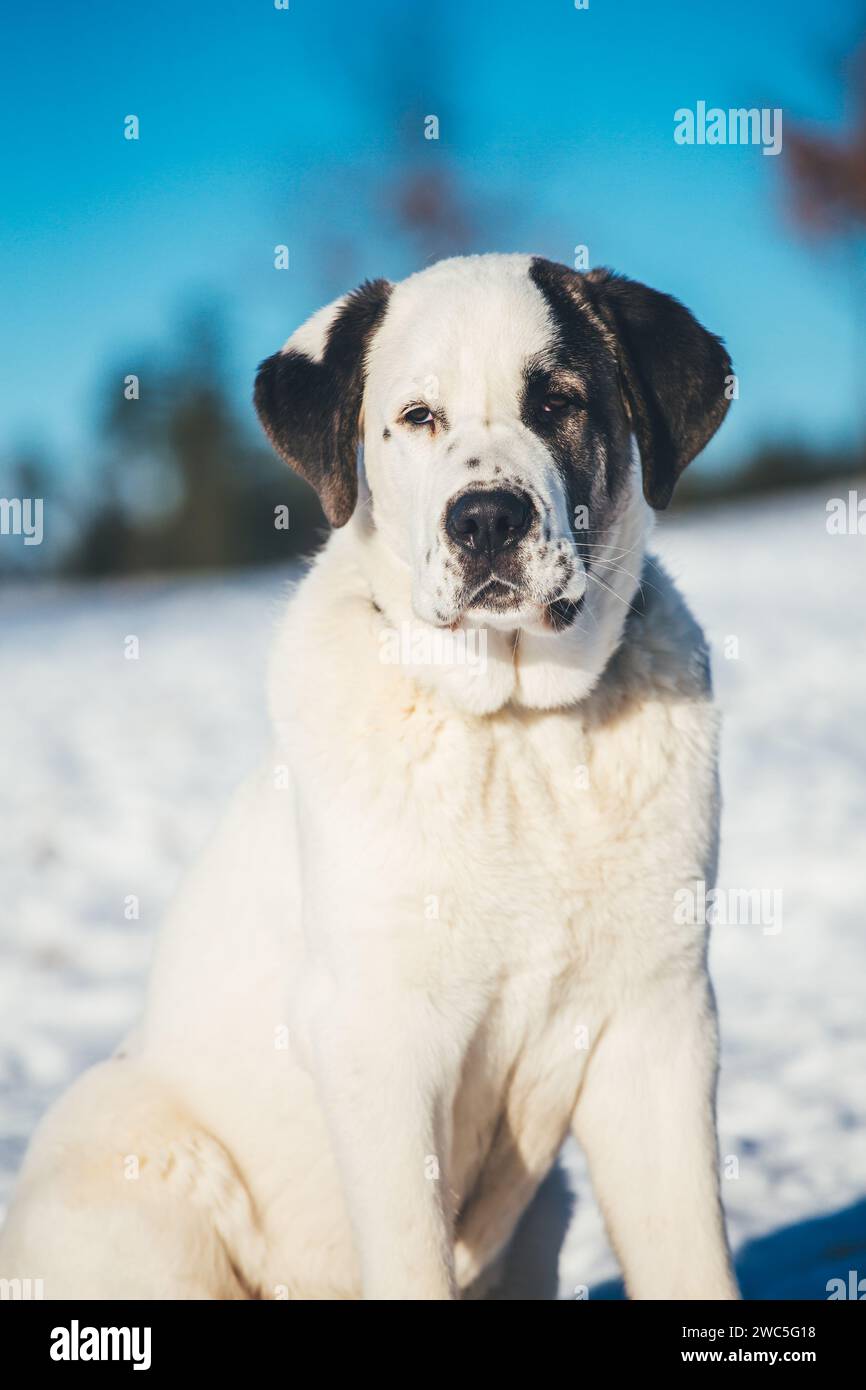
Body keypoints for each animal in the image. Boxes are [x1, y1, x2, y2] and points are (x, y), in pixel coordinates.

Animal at [3, 252, 739, 1301]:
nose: (487, 517)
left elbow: (690, 1258)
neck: (517, 732)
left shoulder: (659, 1020)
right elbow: (409, 1254)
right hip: (139, 1183)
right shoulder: (377, 1038)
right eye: (417, 416)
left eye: (561, 401)